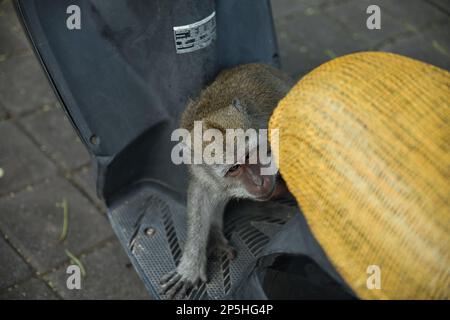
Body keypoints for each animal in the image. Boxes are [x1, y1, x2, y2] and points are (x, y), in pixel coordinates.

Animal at [160, 63, 294, 300]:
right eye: (234, 168)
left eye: (251, 155)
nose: (259, 181)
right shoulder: (201, 169)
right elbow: (202, 192)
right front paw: (190, 265)